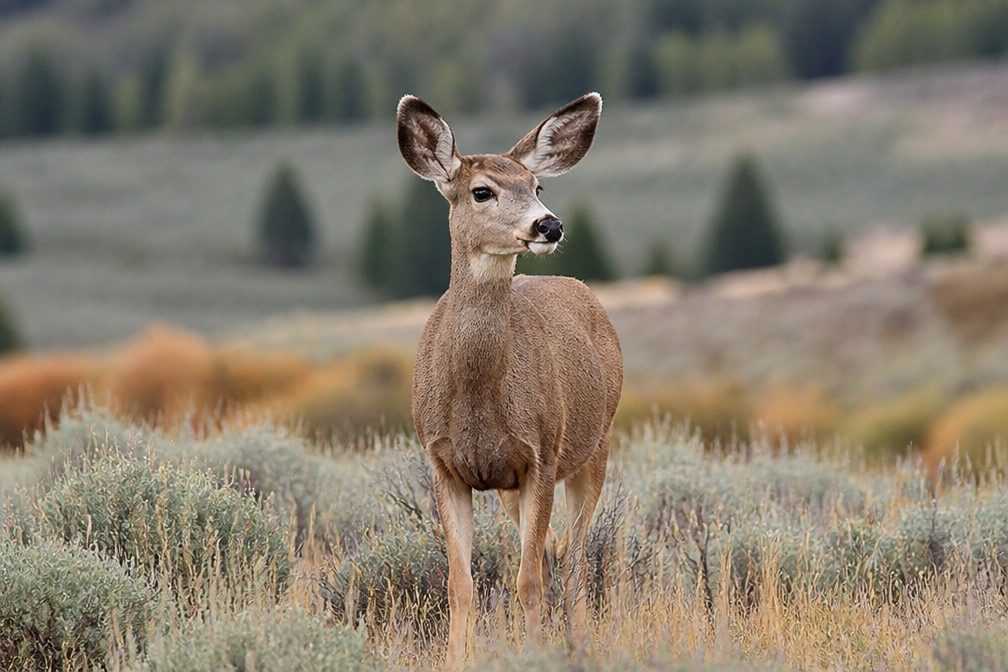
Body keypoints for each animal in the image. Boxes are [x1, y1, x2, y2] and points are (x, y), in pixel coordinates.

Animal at [397, 92, 623, 669]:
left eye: (538, 187)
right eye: (482, 191)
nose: (550, 226)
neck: (478, 399)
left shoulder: (540, 452)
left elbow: (528, 580)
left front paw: (538, 651)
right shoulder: (445, 462)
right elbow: (460, 583)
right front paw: (457, 658)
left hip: (596, 445)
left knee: (571, 556)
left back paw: (578, 644)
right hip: (507, 487)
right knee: (553, 552)